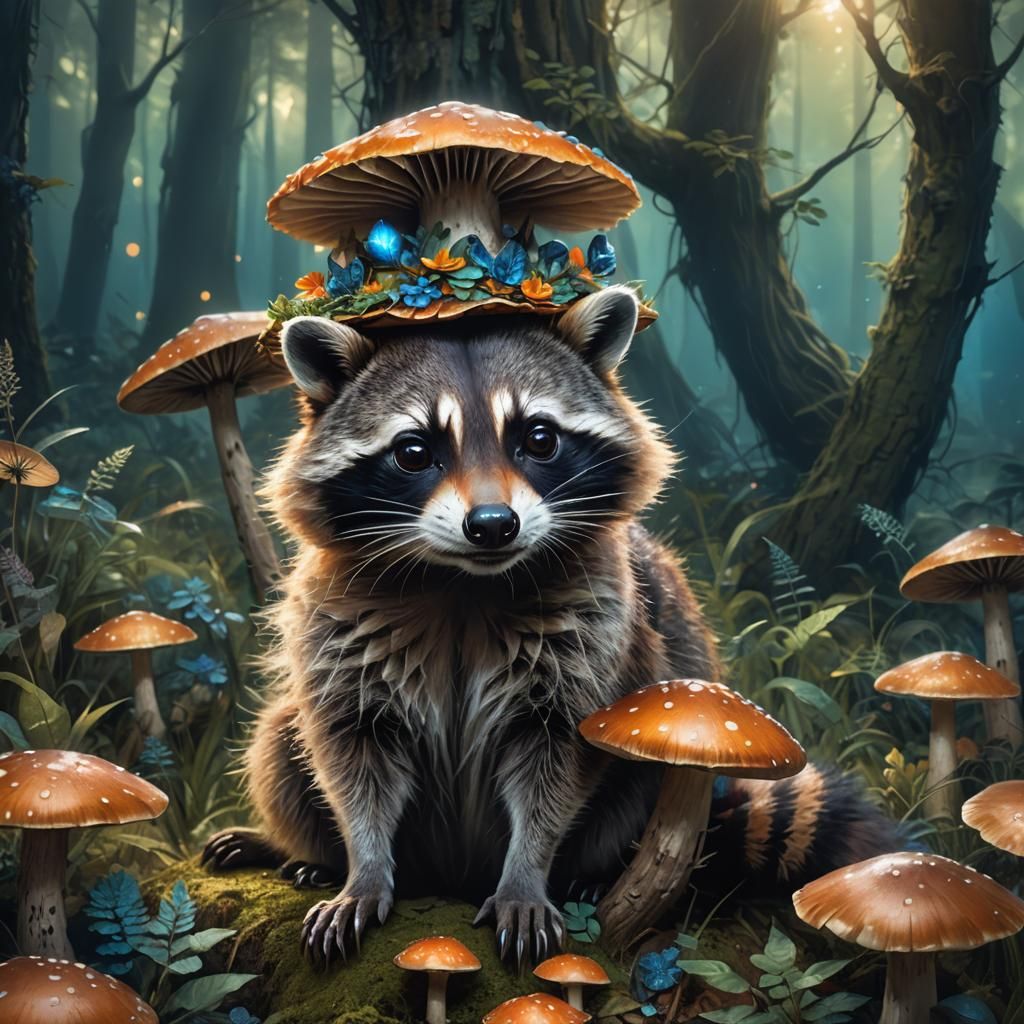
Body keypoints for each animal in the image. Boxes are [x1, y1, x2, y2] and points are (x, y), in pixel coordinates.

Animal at [203, 286, 897, 968]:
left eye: (538, 439)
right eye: (414, 451)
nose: (492, 524)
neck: (464, 584)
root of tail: (451, 876)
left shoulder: (598, 626)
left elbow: (556, 763)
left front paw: (526, 876)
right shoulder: (335, 623)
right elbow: (352, 753)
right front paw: (364, 868)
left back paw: (589, 874)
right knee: (278, 738)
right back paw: (299, 851)